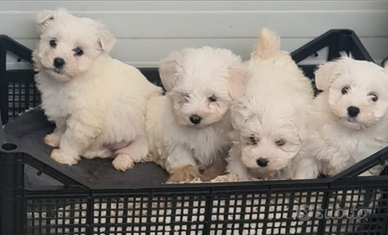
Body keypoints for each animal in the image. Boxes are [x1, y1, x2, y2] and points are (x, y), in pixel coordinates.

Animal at [32, 9, 161, 171]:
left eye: (79, 51)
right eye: (53, 42)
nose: (59, 61)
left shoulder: (84, 121)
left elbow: (70, 138)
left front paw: (63, 155)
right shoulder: (63, 111)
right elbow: (61, 128)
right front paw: (54, 139)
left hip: (140, 141)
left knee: (130, 153)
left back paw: (122, 162)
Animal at [146, 46, 249, 182]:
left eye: (213, 98)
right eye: (185, 96)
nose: (195, 118)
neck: (202, 130)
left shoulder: (221, 148)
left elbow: (216, 164)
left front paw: (210, 176)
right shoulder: (177, 141)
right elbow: (183, 159)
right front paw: (182, 177)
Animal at [226, 28, 320, 180]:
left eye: (280, 142)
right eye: (252, 139)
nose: (262, 161)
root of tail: (268, 54)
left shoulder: (305, 153)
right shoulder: (237, 145)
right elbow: (238, 168)